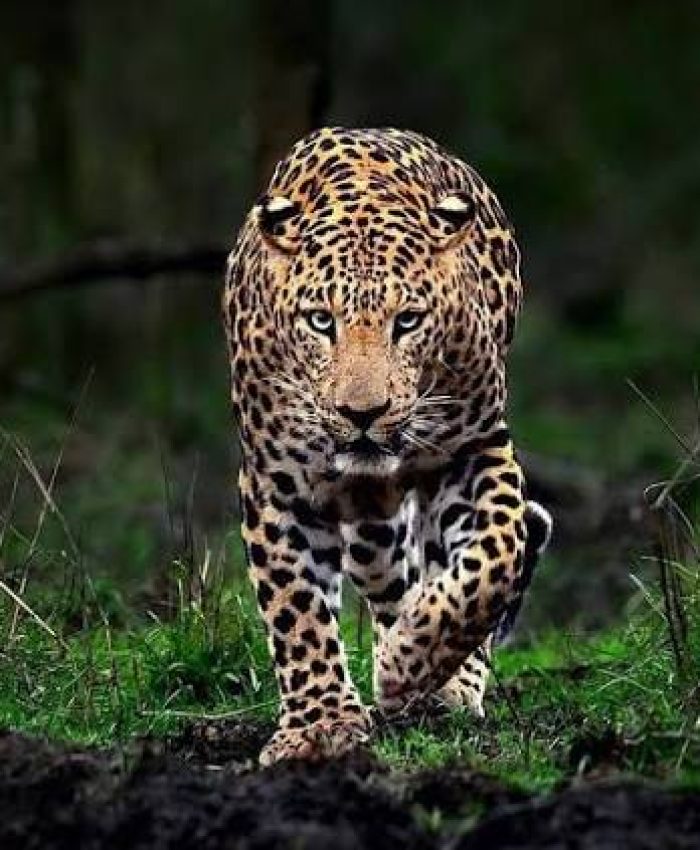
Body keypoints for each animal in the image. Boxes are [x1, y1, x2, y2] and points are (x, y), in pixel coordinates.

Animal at [222, 126, 553, 766]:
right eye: (320, 321)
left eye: (408, 321)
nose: (362, 413)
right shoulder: (276, 482)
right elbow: (296, 608)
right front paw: (319, 726)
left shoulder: (475, 447)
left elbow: (497, 555)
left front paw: (410, 663)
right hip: (370, 525)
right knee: (389, 577)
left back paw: (440, 680)